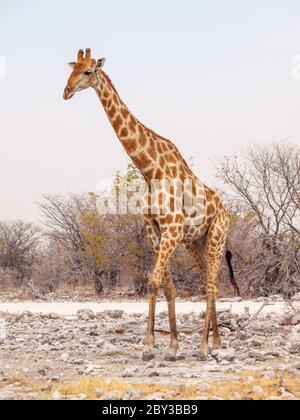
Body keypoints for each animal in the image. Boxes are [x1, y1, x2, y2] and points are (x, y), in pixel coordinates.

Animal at [63, 46, 239, 360]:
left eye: (88, 71)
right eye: (71, 70)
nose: (66, 91)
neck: (151, 171)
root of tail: (224, 210)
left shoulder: (171, 229)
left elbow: (153, 282)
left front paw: (150, 346)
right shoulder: (155, 231)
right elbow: (166, 286)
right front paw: (170, 345)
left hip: (217, 237)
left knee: (211, 285)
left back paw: (204, 347)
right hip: (196, 242)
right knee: (209, 282)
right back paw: (216, 341)